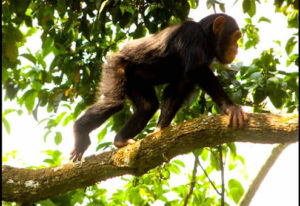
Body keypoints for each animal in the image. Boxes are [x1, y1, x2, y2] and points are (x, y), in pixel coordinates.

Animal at [70, 13, 248, 162]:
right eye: (235, 37)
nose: (237, 47)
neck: (206, 37)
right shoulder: (191, 35)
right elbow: (198, 70)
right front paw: (230, 107)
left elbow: (178, 88)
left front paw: (159, 130)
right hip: (115, 66)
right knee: (113, 102)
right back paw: (80, 132)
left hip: (133, 80)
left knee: (148, 106)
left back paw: (120, 140)